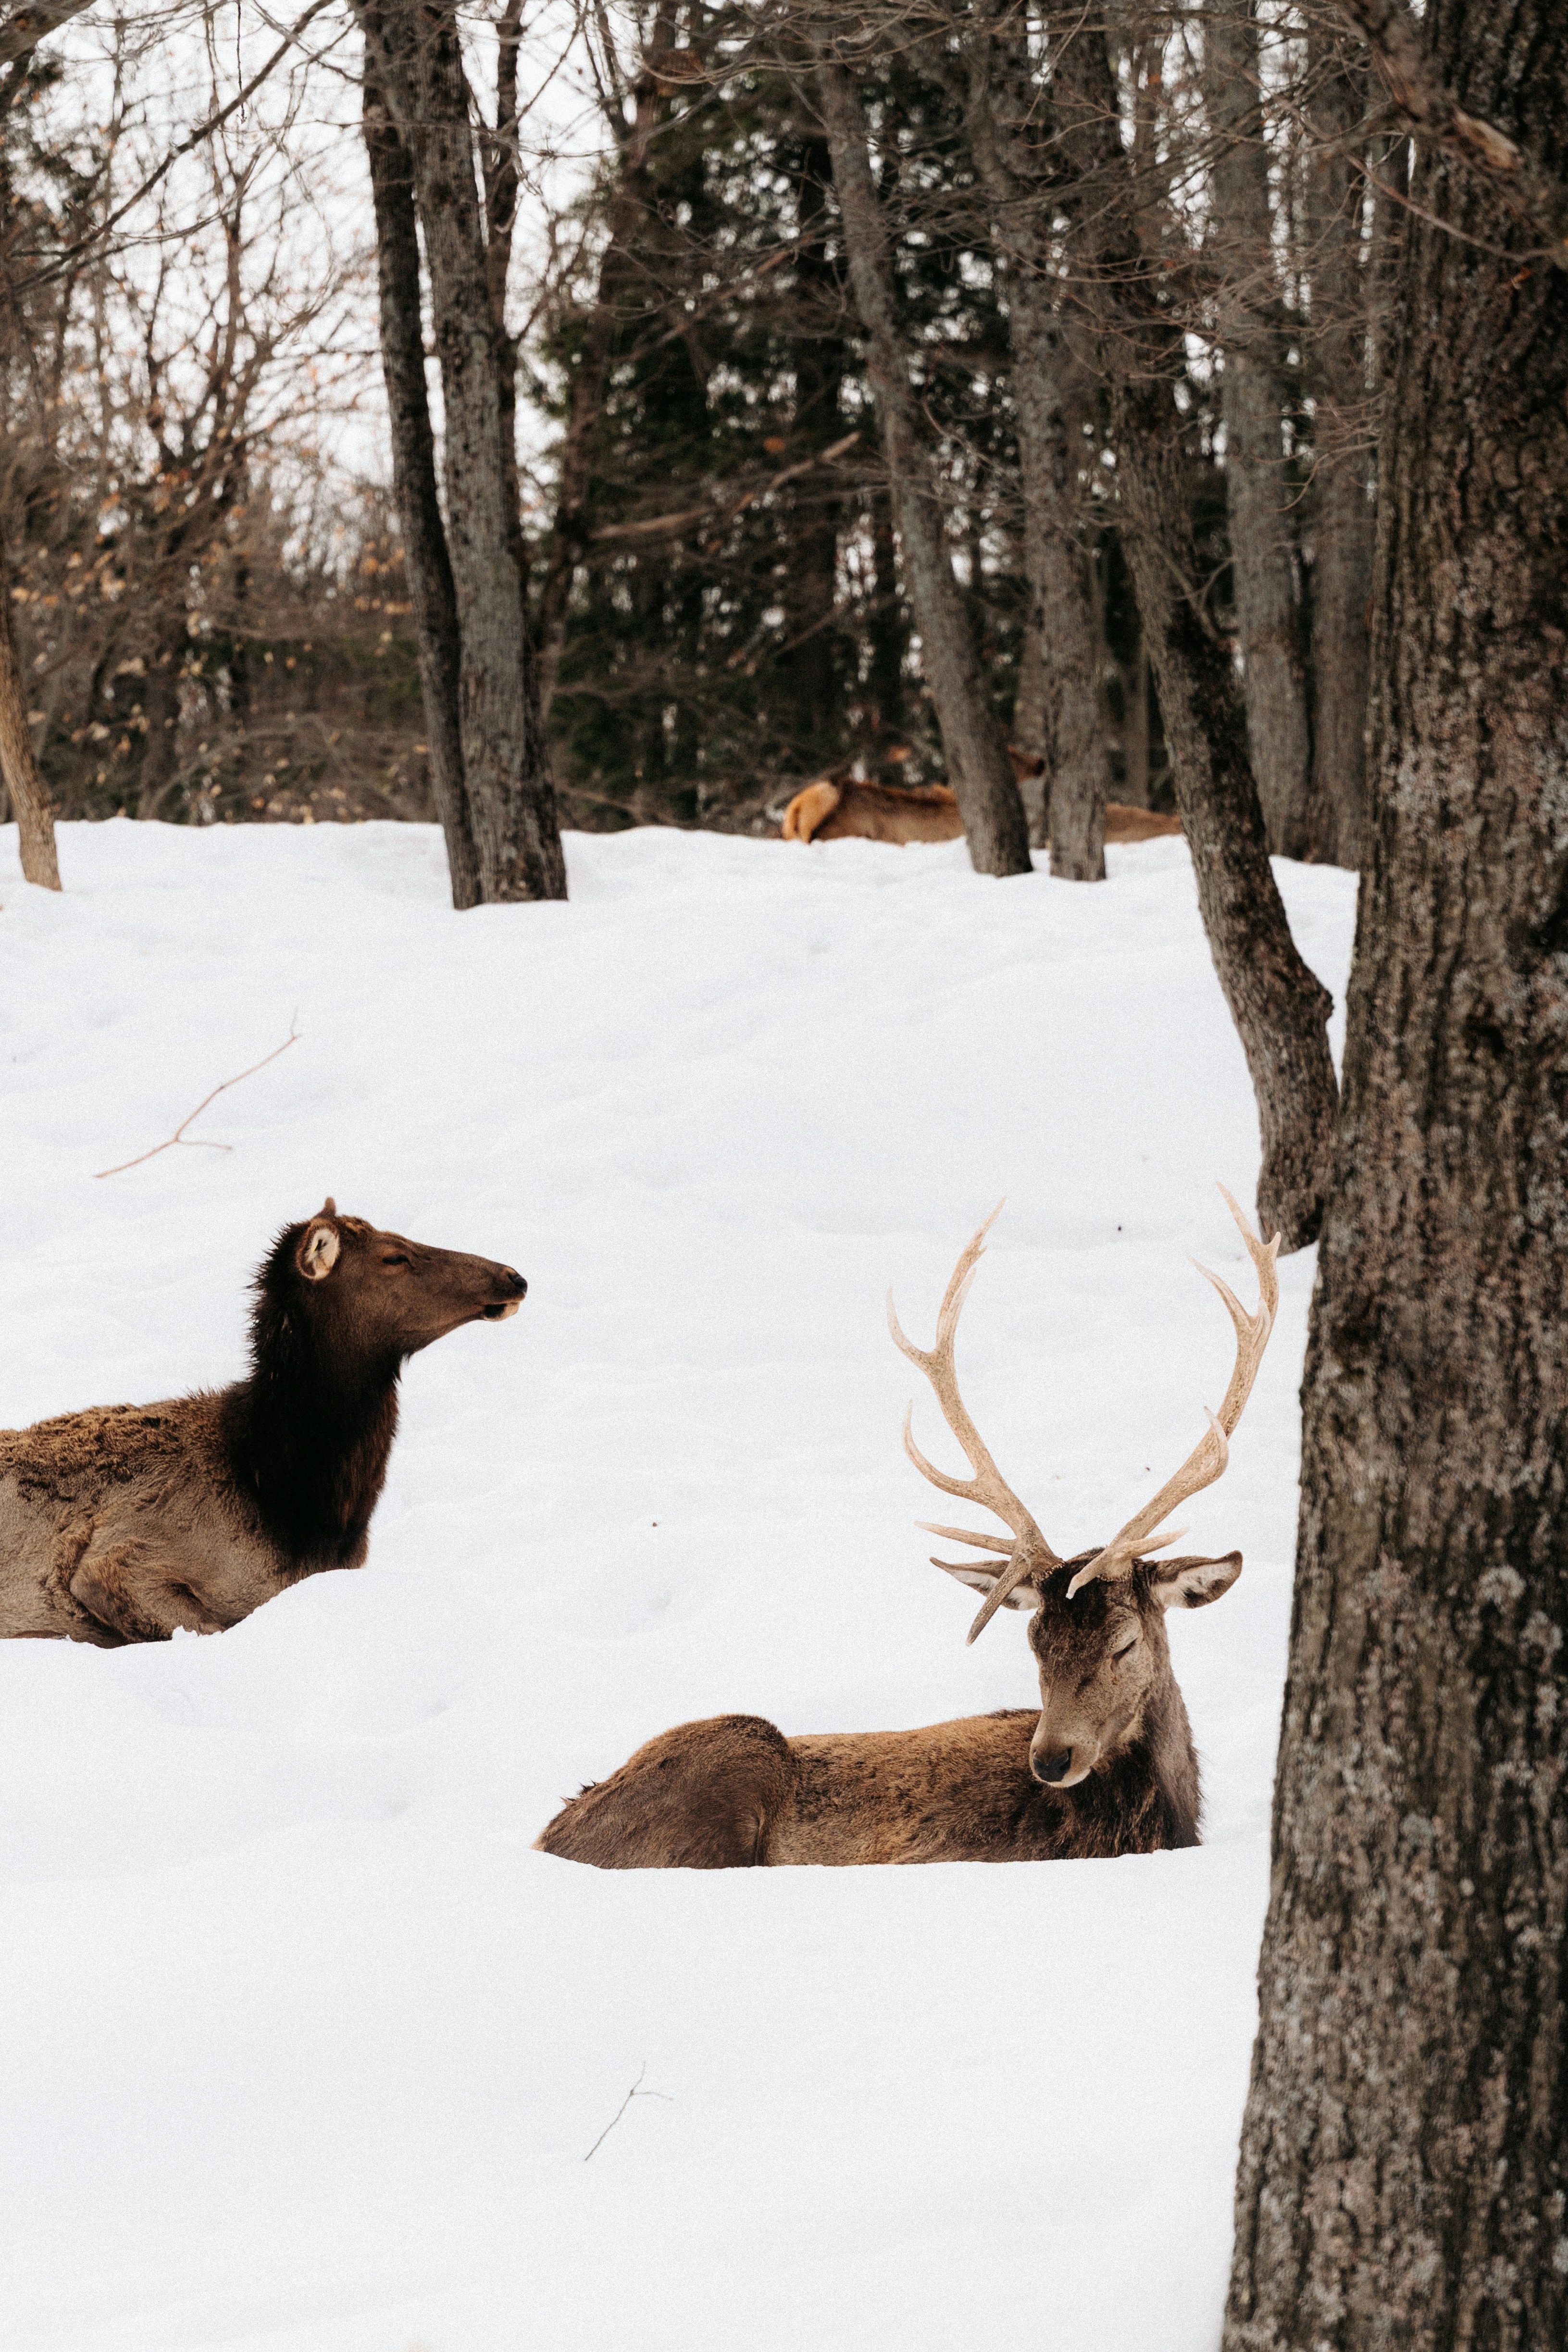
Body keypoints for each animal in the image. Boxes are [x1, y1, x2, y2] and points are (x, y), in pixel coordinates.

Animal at [535, 1190, 1276, 1868]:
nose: (1049, 1758)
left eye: (1124, 1643)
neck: (1152, 1827)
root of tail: (551, 1837)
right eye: (1034, 1642)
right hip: (739, 1754)